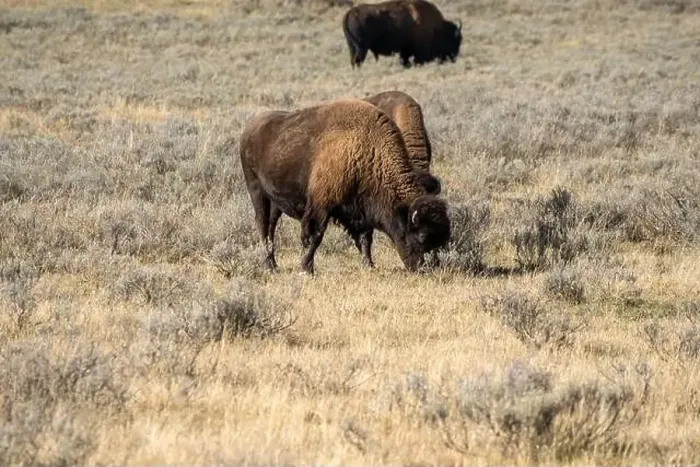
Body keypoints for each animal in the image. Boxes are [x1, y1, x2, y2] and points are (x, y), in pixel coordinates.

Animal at [239, 99, 451, 274]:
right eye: (422, 236)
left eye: (443, 238)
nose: (425, 269)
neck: (368, 150)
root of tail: (249, 129)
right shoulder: (320, 206)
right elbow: (314, 236)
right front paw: (306, 269)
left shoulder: (360, 209)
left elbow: (365, 238)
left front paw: (369, 265)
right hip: (256, 191)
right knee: (262, 224)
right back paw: (269, 266)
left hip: (275, 200)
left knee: (271, 227)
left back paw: (274, 265)